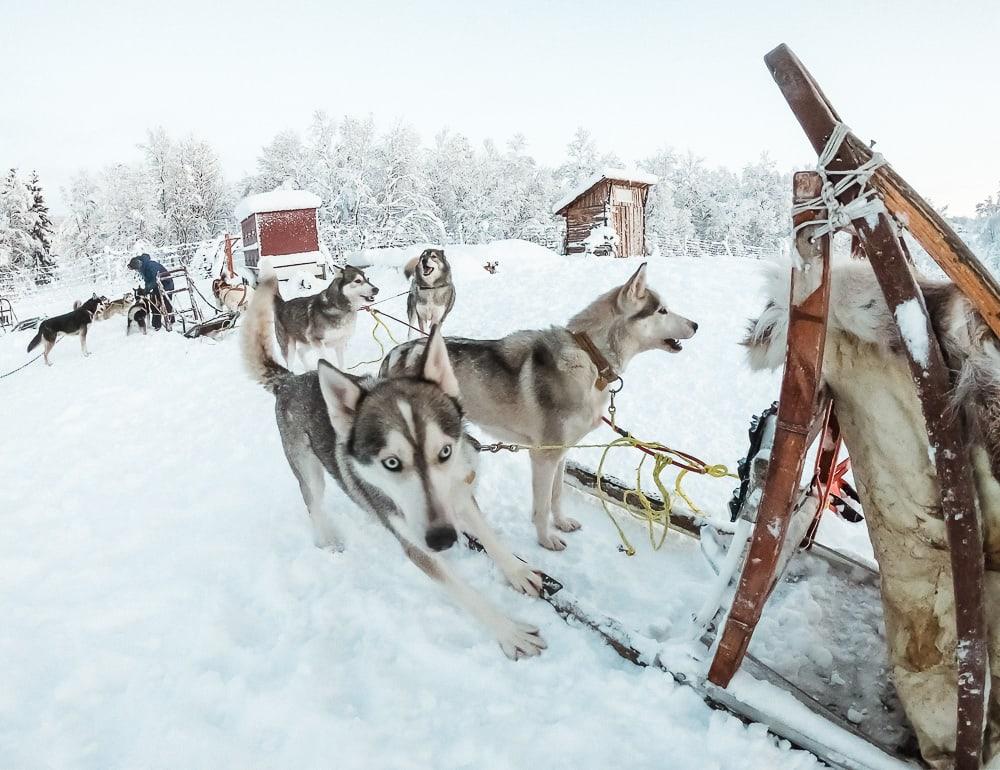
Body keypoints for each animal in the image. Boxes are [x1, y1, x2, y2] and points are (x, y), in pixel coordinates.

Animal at [243, 262, 548, 656]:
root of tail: (290, 380)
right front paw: (509, 632)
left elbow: (490, 537)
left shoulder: (460, 494)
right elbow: (466, 593)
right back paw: (329, 541)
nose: (442, 538)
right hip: (309, 474)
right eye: (391, 463)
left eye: (444, 452)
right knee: (314, 505)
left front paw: (517, 571)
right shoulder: (418, 547)